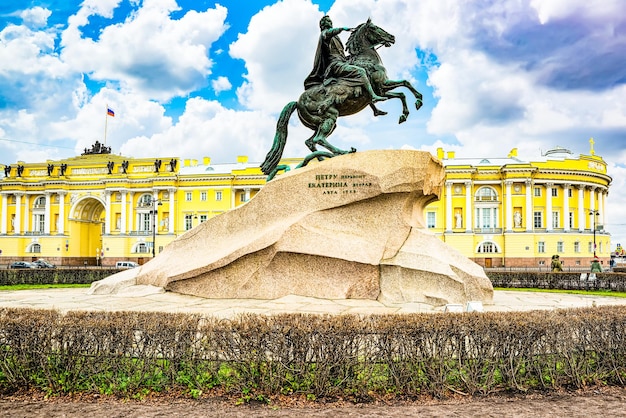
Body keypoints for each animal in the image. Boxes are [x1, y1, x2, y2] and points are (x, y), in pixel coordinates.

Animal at [260, 19, 422, 180]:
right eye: (375, 28)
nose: (392, 38)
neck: (366, 59)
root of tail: (297, 102)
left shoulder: (384, 88)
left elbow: (404, 87)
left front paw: (409, 108)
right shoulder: (382, 87)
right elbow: (402, 89)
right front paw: (412, 106)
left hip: (322, 123)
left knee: (310, 141)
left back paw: (321, 160)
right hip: (330, 116)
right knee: (318, 139)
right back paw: (342, 152)